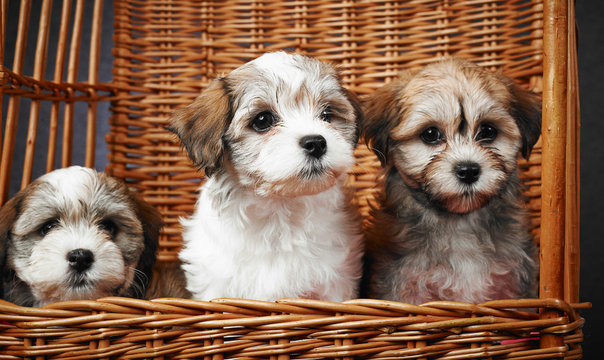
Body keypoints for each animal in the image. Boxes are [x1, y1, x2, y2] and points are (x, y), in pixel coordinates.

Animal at [168, 52, 364, 302]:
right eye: (263, 120)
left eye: (327, 114)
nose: (316, 143)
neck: (279, 208)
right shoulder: (216, 283)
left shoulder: (335, 284)